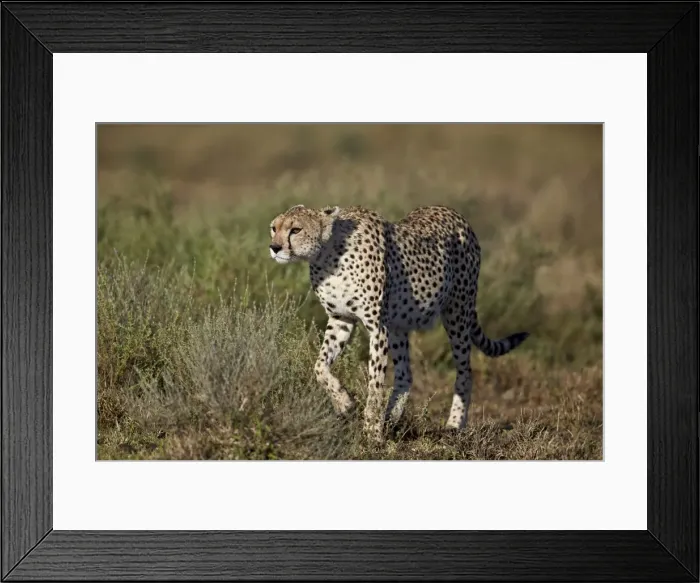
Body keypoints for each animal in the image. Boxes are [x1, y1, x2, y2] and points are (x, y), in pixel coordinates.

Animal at [268, 203, 529, 442]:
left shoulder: (377, 327)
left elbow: (375, 385)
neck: (327, 254)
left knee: (465, 372)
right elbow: (320, 367)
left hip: (457, 312)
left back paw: (454, 424)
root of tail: (453, 212)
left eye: (295, 229)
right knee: (406, 374)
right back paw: (392, 418)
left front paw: (371, 432)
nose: (274, 247)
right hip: (399, 326)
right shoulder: (341, 319)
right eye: (274, 228)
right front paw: (344, 403)